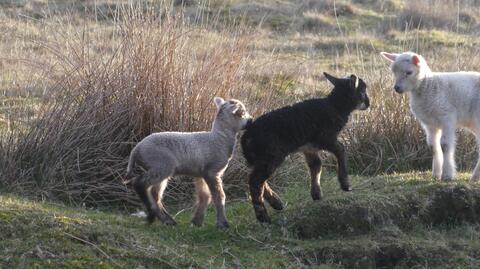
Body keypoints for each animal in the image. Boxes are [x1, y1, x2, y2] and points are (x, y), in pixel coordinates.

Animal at [242, 71, 370, 222]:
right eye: (362, 91)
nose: (369, 103)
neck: (335, 106)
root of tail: (247, 136)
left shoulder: (309, 148)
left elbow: (316, 165)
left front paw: (316, 194)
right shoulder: (325, 138)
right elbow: (341, 149)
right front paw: (345, 184)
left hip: (262, 158)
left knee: (257, 179)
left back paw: (277, 203)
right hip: (271, 155)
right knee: (255, 181)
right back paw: (263, 215)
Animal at [382, 50, 480, 180]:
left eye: (409, 72)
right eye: (393, 71)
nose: (397, 88)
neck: (428, 85)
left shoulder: (447, 118)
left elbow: (445, 145)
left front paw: (447, 174)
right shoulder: (430, 124)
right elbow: (433, 146)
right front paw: (436, 174)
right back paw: (475, 177)